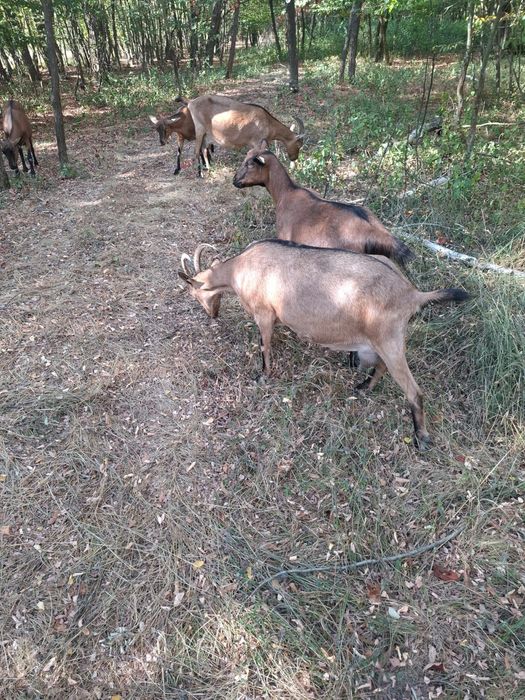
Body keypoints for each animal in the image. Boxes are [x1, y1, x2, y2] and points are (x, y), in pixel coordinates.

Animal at [179, 240, 469, 449]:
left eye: (193, 293)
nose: (212, 314)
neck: (240, 269)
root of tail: (411, 294)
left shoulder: (263, 313)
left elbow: (265, 346)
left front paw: (263, 376)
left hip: (389, 340)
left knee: (413, 391)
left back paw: (421, 438)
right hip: (381, 343)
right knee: (382, 368)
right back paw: (363, 387)